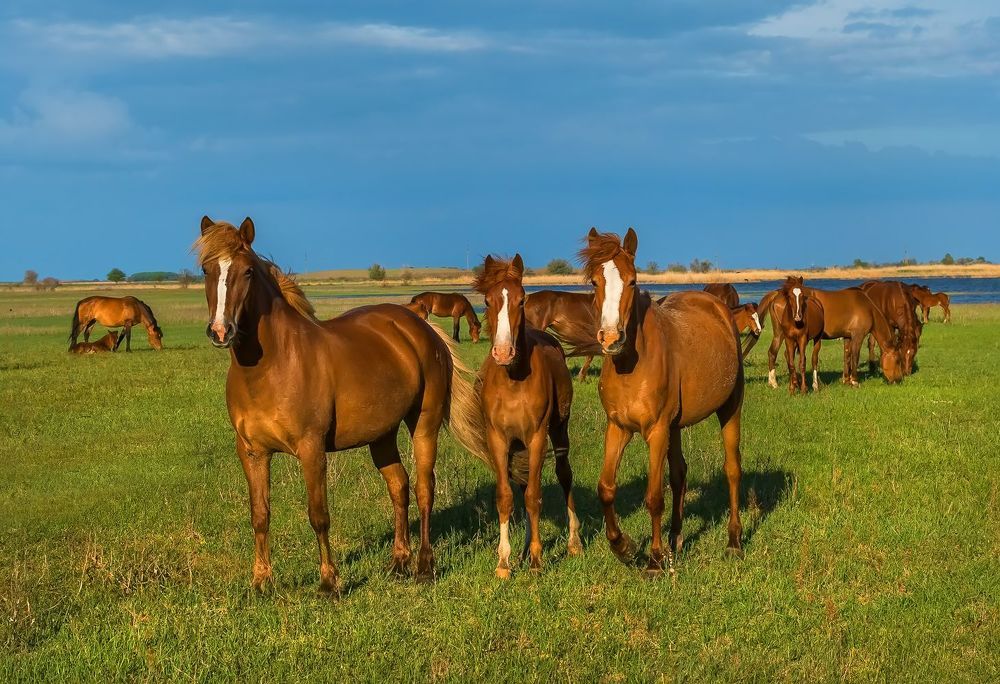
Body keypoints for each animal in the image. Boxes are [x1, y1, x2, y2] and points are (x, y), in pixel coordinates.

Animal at [195, 216, 490, 592]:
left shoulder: (311, 449)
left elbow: (318, 515)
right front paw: (261, 582)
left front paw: (328, 583)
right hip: (382, 435)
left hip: (424, 424)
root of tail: (419, 326)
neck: (274, 365)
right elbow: (260, 515)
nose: (221, 331)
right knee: (399, 486)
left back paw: (424, 567)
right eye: (206, 269)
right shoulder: (251, 452)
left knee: (424, 489)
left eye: (247, 271)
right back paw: (398, 563)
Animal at [472, 255, 581, 577]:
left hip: (558, 430)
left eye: (522, 300)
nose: (503, 352)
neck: (513, 380)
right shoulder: (498, 440)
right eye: (487, 300)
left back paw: (573, 543)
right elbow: (506, 496)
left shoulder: (536, 438)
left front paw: (537, 560)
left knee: (564, 475)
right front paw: (504, 562)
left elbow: (534, 497)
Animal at [570, 228, 745, 576]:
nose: (611, 339)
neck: (632, 366)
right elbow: (605, 488)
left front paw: (653, 561)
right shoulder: (618, 428)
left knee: (732, 469)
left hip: (729, 409)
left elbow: (653, 496)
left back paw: (733, 542)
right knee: (679, 475)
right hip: (675, 427)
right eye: (595, 282)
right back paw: (676, 540)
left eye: (632, 280)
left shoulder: (656, 431)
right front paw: (624, 547)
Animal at [757, 283, 903, 387]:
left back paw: (776, 382)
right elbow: (855, 357)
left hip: (779, 334)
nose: (898, 380)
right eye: (897, 361)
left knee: (773, 353)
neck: (868, 308)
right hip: (785, 335)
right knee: (781, 354)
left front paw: (846, 380)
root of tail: (777, 293)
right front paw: (855, 381)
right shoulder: (858, 336)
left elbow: (847, 356)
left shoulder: (848, 337)